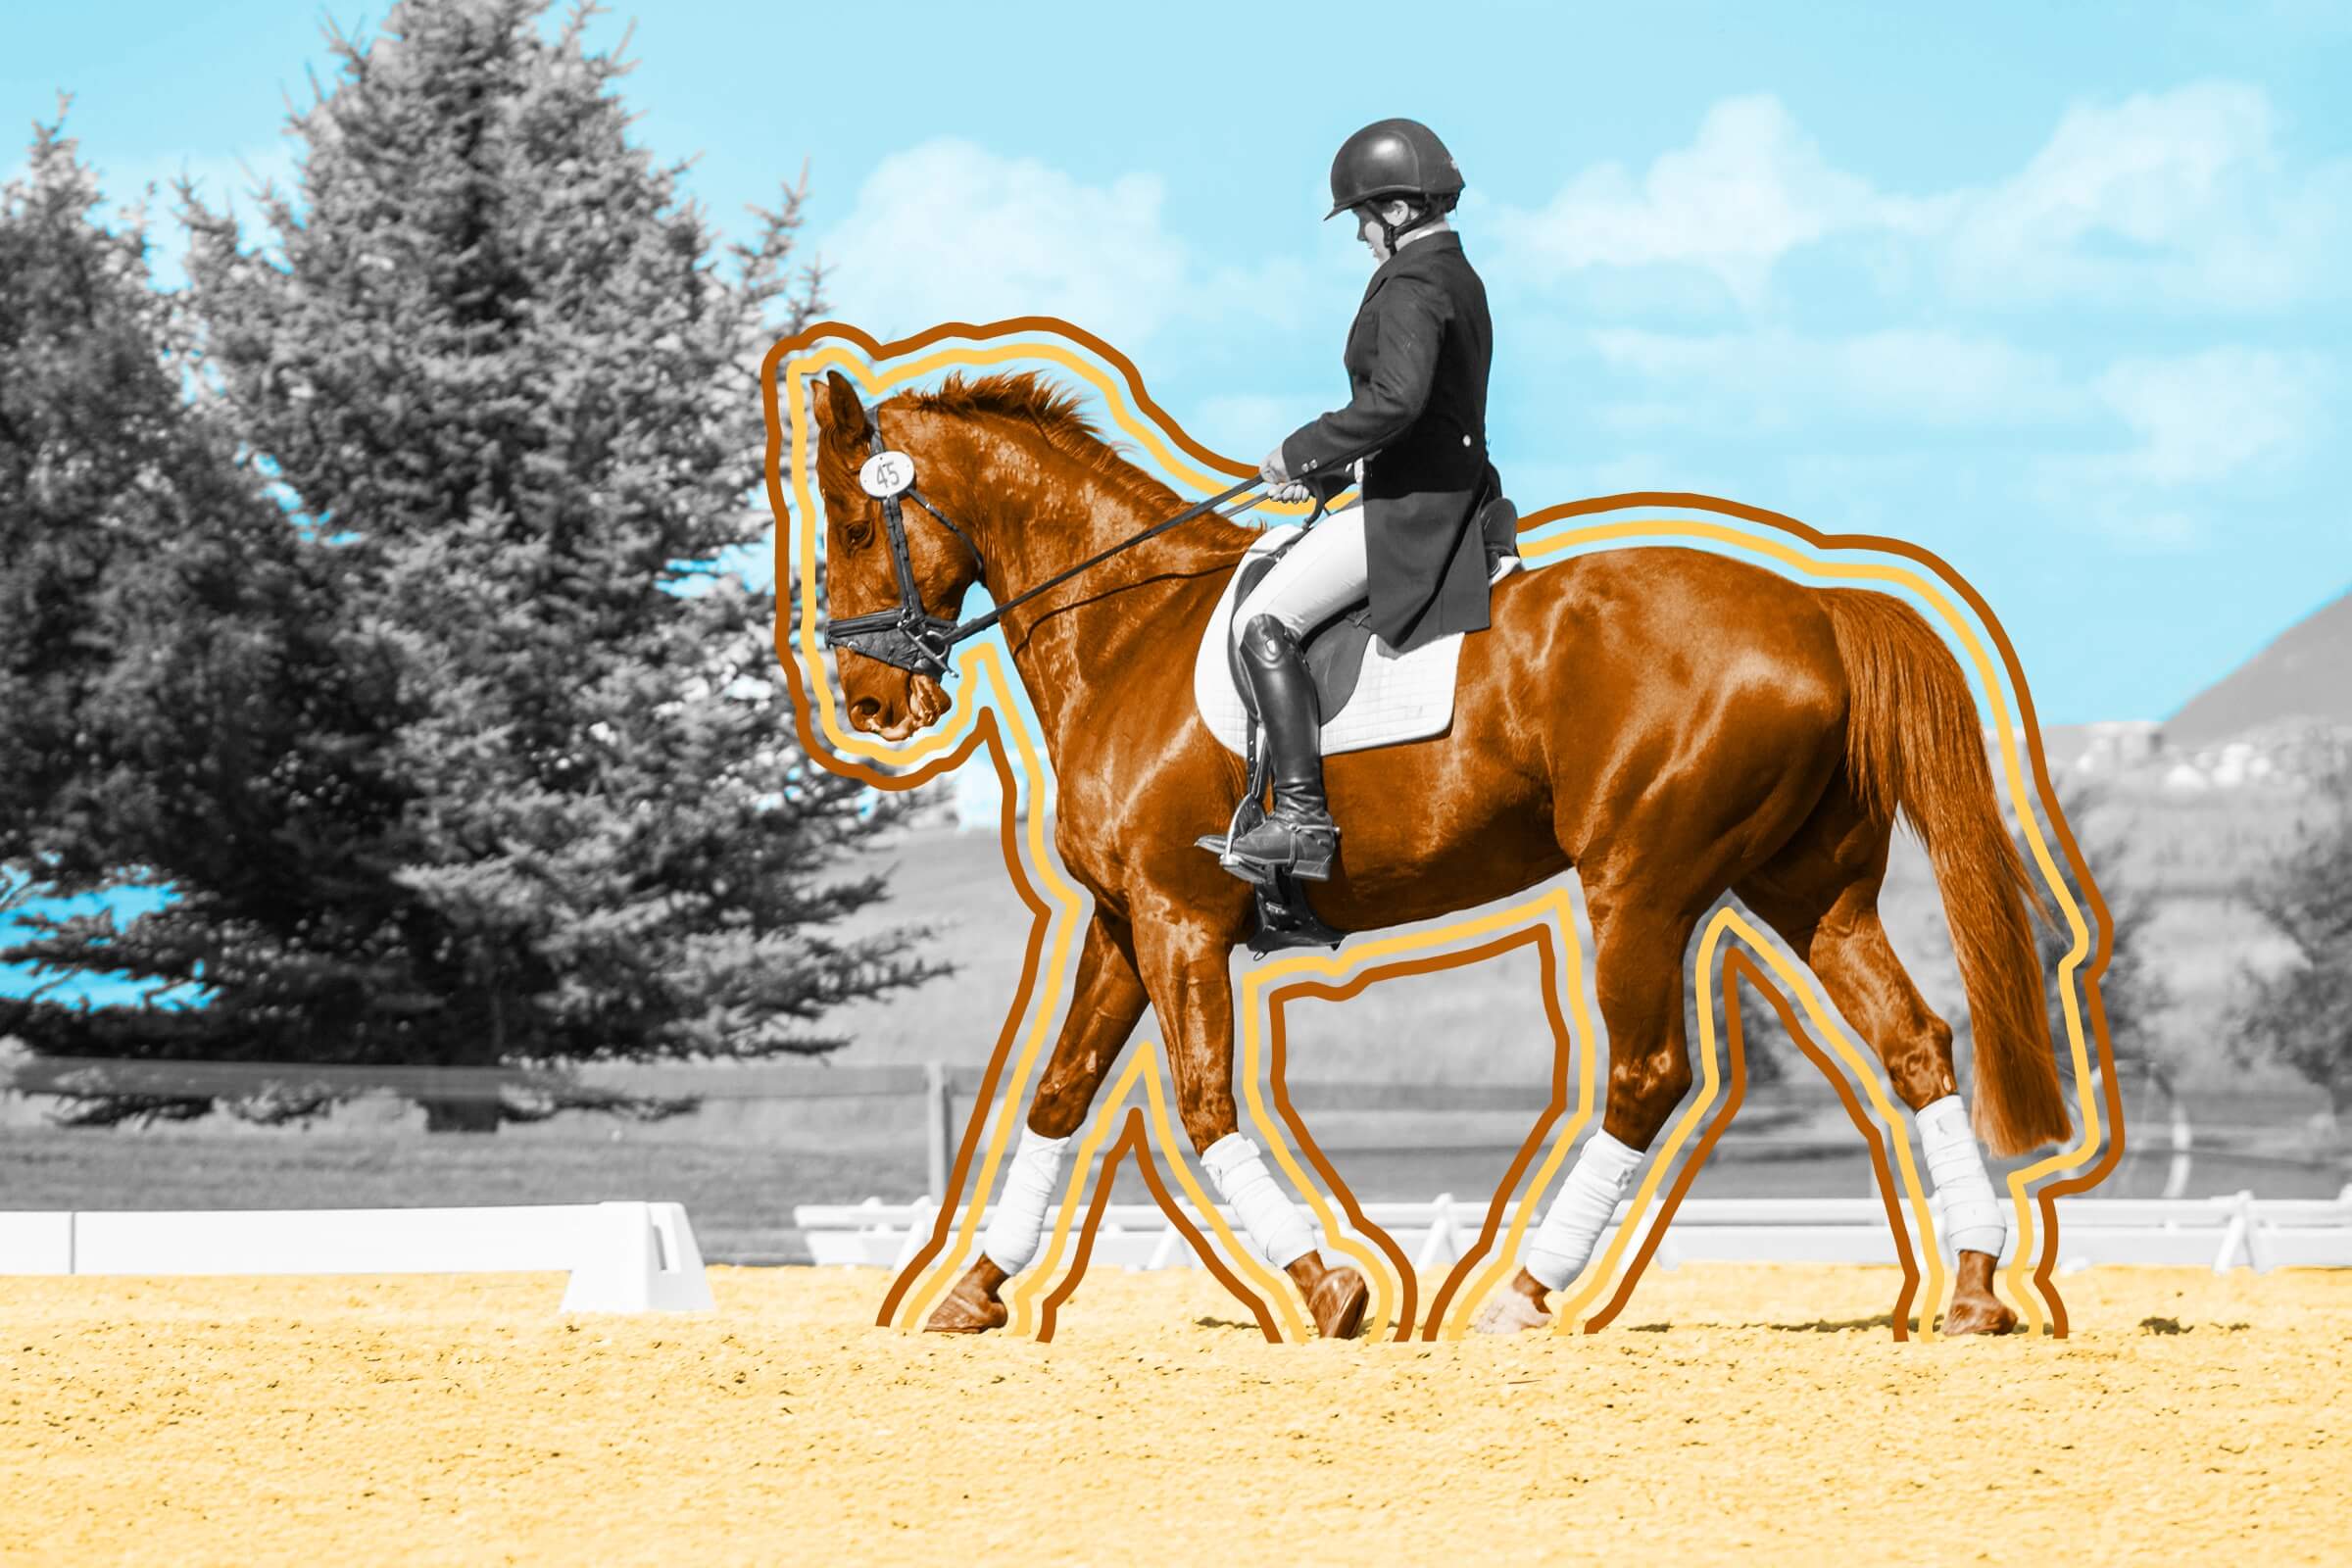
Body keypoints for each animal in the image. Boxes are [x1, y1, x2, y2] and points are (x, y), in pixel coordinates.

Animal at [804, 366, 2068, 1339]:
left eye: (859, 526)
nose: (867, 702)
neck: (1127, 629)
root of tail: (1814, 607)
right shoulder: (1125, 922)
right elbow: (1059, 1094)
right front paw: (970, 1293)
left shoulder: (1178, 918)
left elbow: (1205, 1106)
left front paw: (1330, 1287)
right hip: (1811, 889)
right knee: (1911, 1044)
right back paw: (1973, 1290)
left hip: (1639, 885)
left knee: (1649, 1076)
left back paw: (1521, 1292)